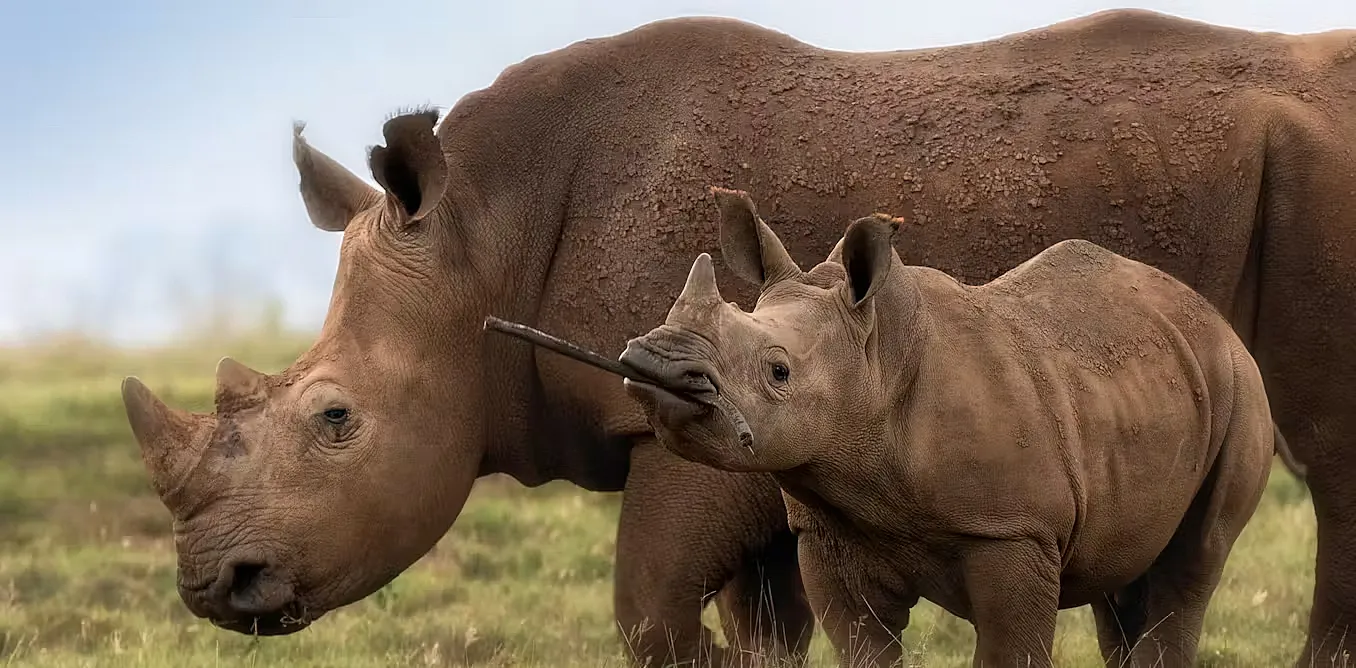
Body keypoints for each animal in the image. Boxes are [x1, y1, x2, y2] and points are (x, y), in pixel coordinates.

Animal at [621, 187, 1277, 668]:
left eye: (778, 371)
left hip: (1242, 388)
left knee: (1195, 558)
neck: (878, 357)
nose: (657, 362)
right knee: (1125, 577)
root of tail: (1211, 317)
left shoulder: (1014, 529)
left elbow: (1011, 649)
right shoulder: (831, 530)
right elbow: (865, 650)